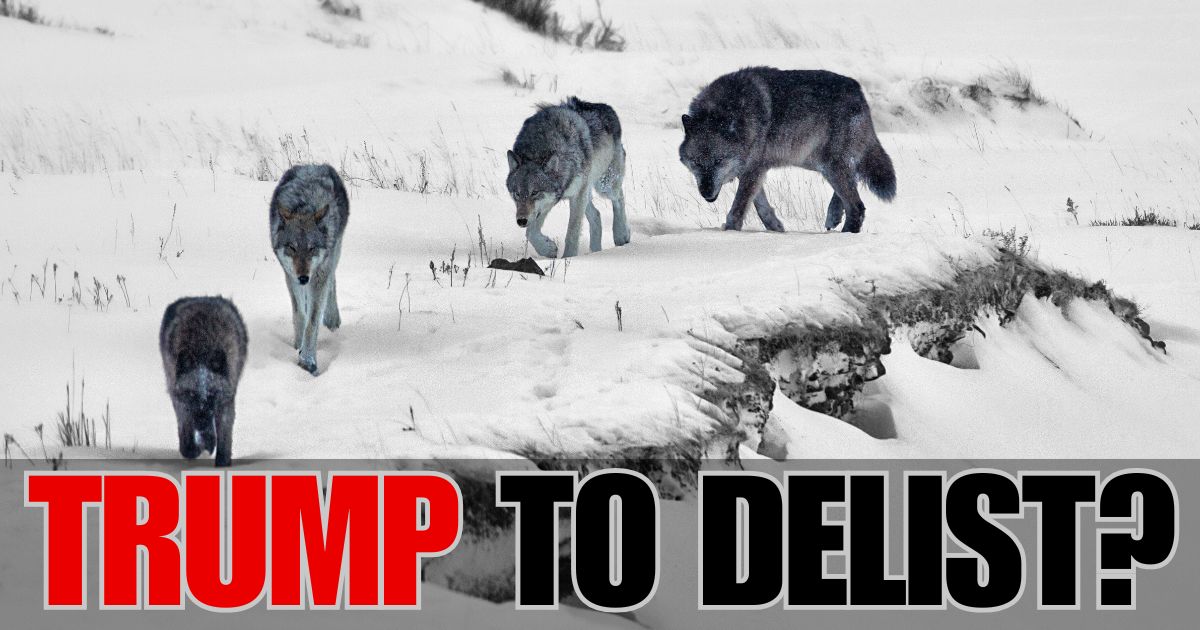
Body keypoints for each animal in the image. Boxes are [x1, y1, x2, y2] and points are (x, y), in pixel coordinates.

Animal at [159, 296, 248, 467]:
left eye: (212, 394)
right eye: (191, 395)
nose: (201, 426)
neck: (202, 345)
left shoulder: (225, 402)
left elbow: (224, 437)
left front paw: (222, 462)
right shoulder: (182, 403)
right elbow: (186, 438)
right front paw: (196, 448)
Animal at [269, 164, 349, 375]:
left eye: (312, 248)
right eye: (292, 247)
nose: (304, 277)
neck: (305, 205)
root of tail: (312, 165)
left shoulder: (319, 274)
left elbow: (312, 321)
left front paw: (307, 360)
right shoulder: (290, 275)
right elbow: (300, 315)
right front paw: (298, 347)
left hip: (334, 253)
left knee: (332, 281)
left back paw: (332, 320)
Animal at [506, 97, 630, 258]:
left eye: (535, 192)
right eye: (517, 194)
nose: (521, 220)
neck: (538, 151)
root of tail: (606, 107)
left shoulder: (576, 196)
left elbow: (572, 232)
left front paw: (568, 258)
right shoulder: (549, 201)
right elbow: (530, 233)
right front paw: (548, 249)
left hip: (604, 186)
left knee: (619, 198)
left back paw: (622, 235)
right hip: (587, 191)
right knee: (597, 215)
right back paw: (595, 251)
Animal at [680, 67, 896, 233]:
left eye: (719, 161)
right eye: (696, 162)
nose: (706, 192)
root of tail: (857, 89)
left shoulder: (753, 169)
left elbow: (738, 208)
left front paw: (730, 233)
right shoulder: (754, 170)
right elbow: (761, 207)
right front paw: (775, 228)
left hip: (828, 164)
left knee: (857, 206)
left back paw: (844, 235)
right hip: (816, 162)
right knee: (853, 180)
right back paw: (833, 216)